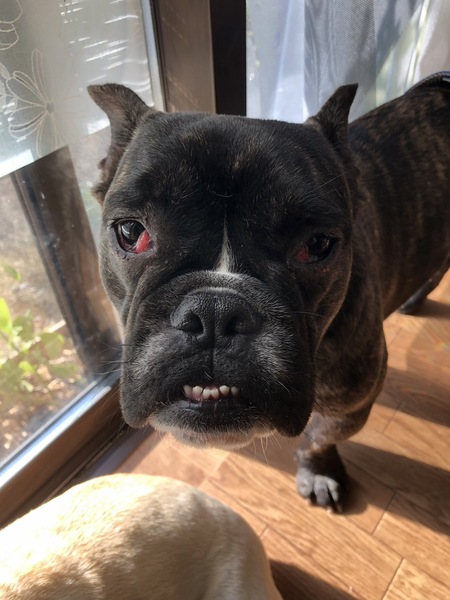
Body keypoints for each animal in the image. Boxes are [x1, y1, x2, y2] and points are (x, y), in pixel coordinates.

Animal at [88, 72, 450, 512]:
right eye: (130, 232)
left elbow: (317, 438)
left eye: (317, 245)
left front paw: (319, 471)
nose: (215, 311)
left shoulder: (352, 404)